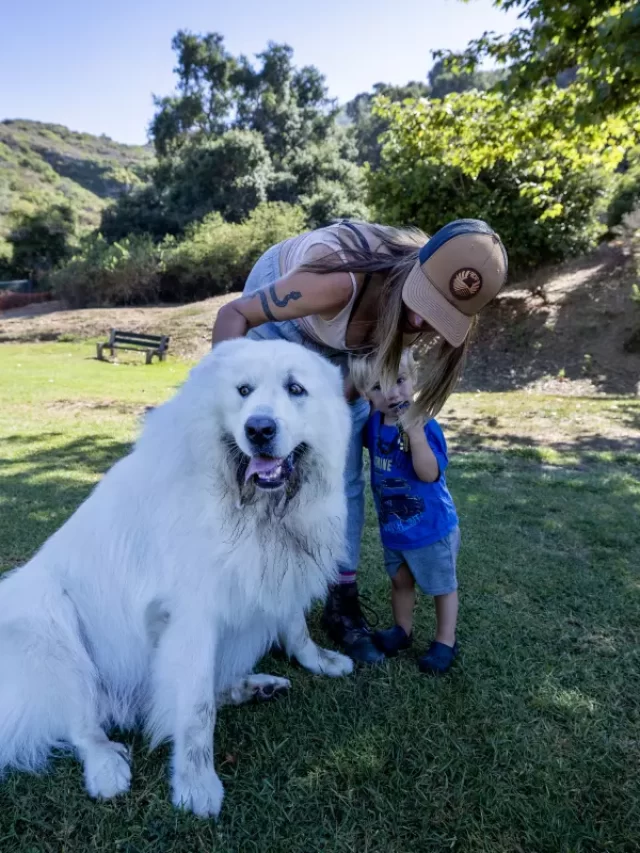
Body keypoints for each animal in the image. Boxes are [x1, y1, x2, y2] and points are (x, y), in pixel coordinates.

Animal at [0, 340, 352, 820]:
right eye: (243, 391)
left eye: (295, 388)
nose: (259, 429)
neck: (250, 504)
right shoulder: (193, 618)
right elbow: (196, 710)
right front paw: (195, 784)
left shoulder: (275, 575)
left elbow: (295, 629)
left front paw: (320, 660)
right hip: (50, 625)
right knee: (83, 724)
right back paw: (107, 766)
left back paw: (255, 687)